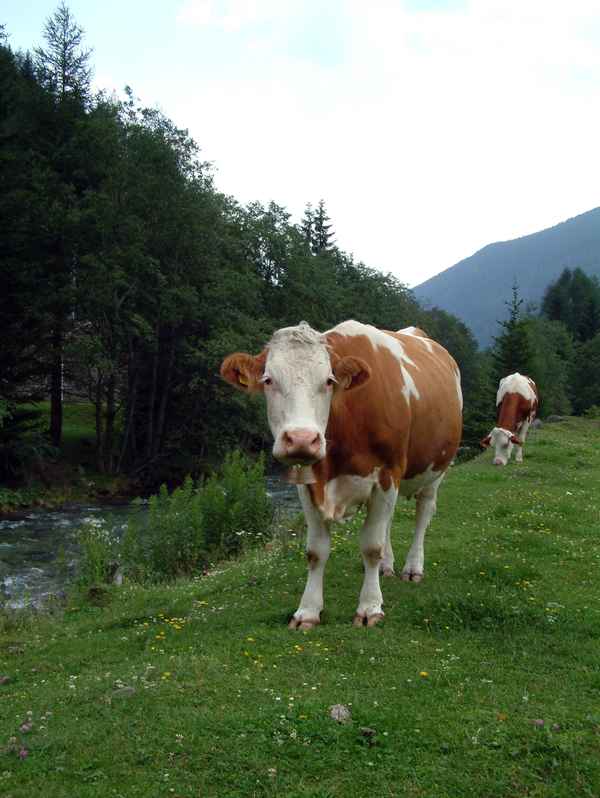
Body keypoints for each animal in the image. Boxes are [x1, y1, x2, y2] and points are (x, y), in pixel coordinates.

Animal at [220, 320, 462, 629]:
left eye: (328, 381)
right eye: (268, 380)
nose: (301, 439)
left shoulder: (387, 474)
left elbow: (371, 546)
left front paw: (369, 608)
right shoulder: (308, 484)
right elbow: (316, 551)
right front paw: (307, 611)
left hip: (436, 468)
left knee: (423, 514)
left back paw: (412, 567)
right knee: (389, 521)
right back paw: (387, 566)